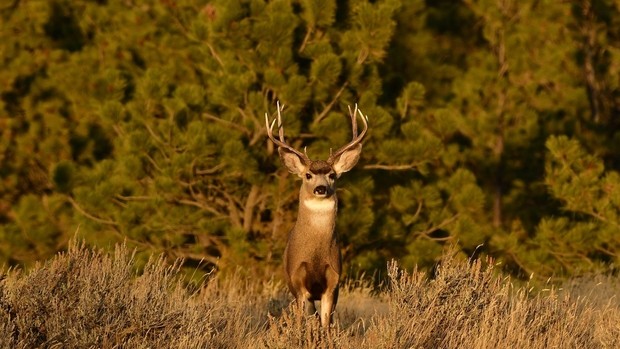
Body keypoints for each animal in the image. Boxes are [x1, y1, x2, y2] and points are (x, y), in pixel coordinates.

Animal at [266, 102, 368, 324]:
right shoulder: (298, 283)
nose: (320, 189)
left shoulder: (333, 283)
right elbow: (303, 320)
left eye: (332, 175)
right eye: (308, 175)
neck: (315, 257)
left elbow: (326, 323)